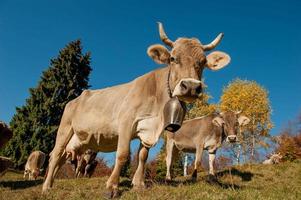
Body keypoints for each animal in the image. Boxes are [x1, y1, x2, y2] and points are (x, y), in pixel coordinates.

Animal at [42, 22, 230, 197]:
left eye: (203, 62)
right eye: (173, 58)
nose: (191, 86)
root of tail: (75, 99)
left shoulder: (147, 129)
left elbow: (142, 156)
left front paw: (139, 184)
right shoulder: (126, 121)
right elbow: (123, 154)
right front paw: (112, 186)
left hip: (78, 140)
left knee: (62, 158)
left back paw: (50, 183)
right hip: (65, 128)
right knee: (55, 155)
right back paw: (45, 187)